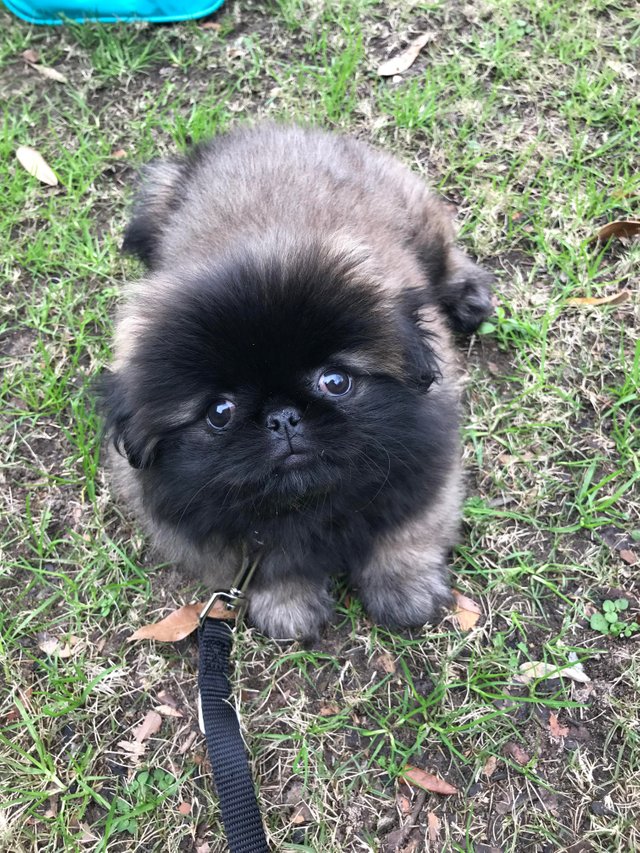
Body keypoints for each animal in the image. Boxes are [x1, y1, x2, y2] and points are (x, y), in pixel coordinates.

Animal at [100, 120, 492, 640]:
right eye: (219, 413)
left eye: (335, 382)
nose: (283, 417)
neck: (311, 502)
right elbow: (267, 568)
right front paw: (288, 606)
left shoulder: (425, 475)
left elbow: (404, 536)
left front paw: (404, 590)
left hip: (418, 218)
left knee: (444, 256)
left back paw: (468, 297)